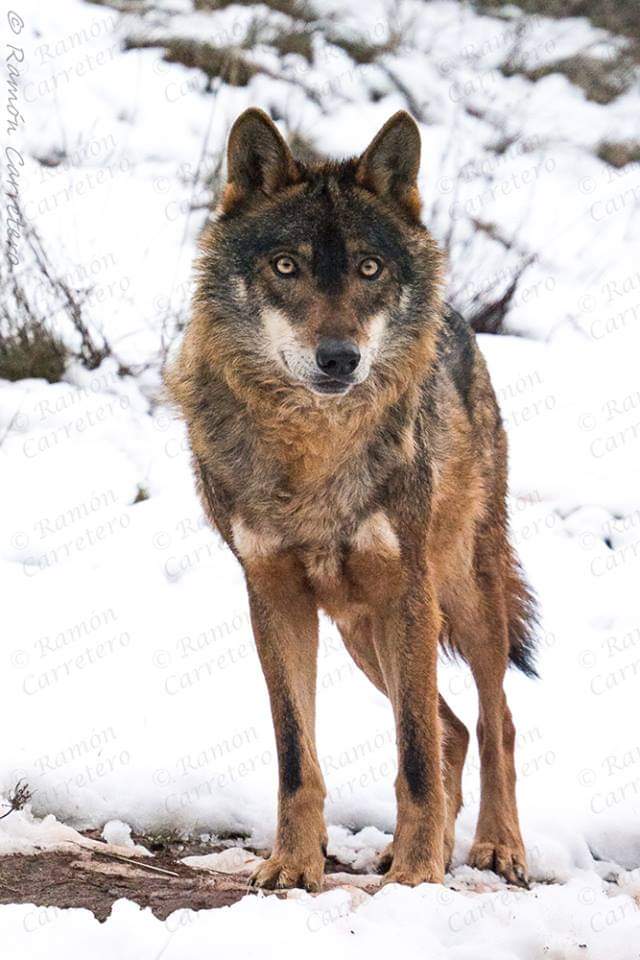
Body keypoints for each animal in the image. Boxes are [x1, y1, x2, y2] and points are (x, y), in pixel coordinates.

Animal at [167, 107, 537, 891]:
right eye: (287, 266)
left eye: (370, 268)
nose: (339, 358)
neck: (315, 450)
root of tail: (462, 321)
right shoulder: (273, 593)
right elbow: (295, 754)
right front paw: (294, 865)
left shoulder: (409, 589)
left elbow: (414, 757)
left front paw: (419, 878)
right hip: (363, 632)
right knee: (453, 726)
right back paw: (422, 846)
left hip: (459, 598)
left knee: (493, 721)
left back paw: (496, 846)